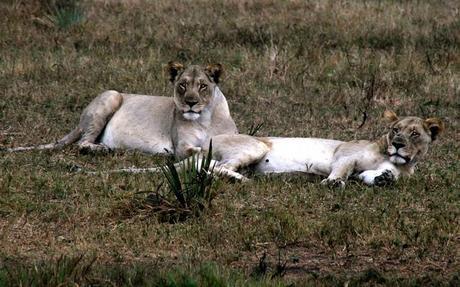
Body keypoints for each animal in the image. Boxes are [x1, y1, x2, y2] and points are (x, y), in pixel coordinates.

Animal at [6, 62, 237, 160]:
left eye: (202, 86)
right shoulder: (181, 147)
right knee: (82, 143)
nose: (190, 102)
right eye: (182, 85)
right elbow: (198, 150)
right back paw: (103, 150)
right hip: (112, 94)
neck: (204, 119)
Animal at [161, 110, 442, 187]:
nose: (397, 144)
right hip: (254, 146)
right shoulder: (345, 155)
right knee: (215, 167)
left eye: (414, 133)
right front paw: (332, 183)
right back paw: (240, 179)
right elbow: (340, 170)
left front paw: (383, 179)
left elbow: (372, 176)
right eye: (395, 129)